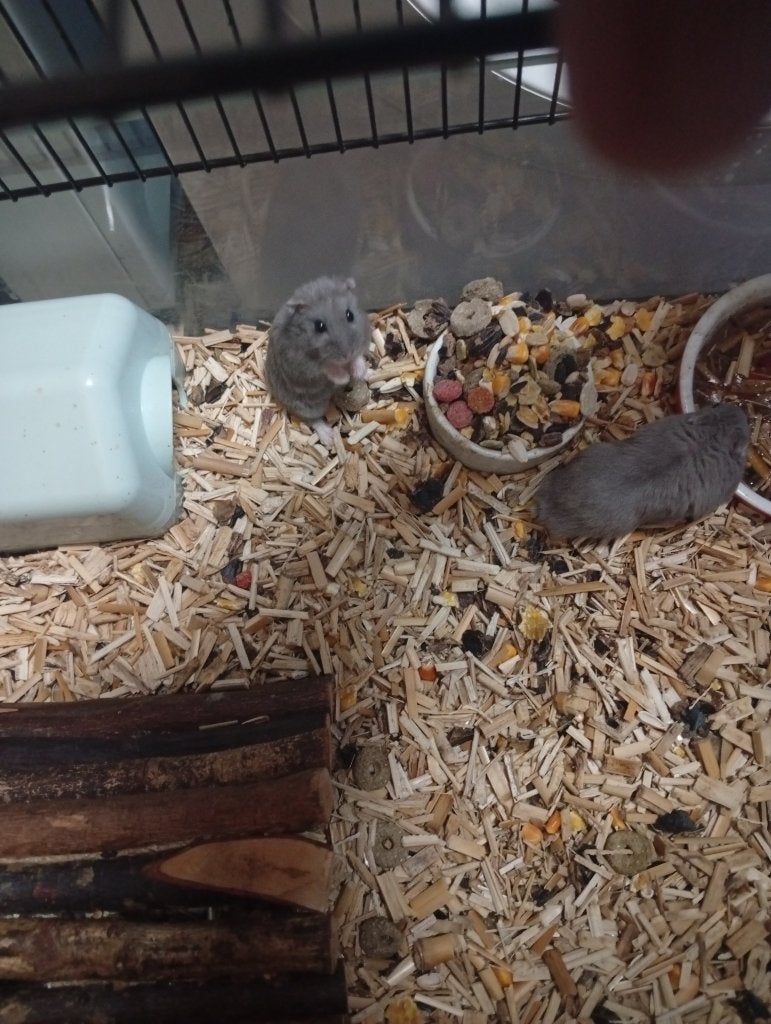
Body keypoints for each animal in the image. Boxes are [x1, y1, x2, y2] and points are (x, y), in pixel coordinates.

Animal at [265, 276, 371, 445]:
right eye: (319, 326)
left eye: (350, 315)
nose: (347, 354)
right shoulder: (301, 364)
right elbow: (327, 367)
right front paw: (344, 377)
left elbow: (358, 358)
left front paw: (358, 371)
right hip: (306, 406)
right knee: (313, 420)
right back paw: (329, 438)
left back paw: (369, 373)